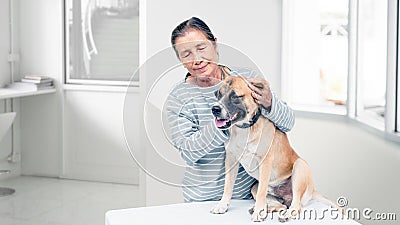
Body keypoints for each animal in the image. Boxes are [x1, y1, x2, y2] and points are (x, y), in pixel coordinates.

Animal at [209, 75, 340, 221]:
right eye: (218, 94)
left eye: (235, 96)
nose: (215, 109)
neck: (246, 129)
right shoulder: (231, 159)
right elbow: (228, 186)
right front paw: (223, 205)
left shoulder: (265, 162)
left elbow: (262, 192)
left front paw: (259, 212)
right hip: (254, 187)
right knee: (281, 205)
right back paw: (266, 208)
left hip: (300, 167)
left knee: (296, 205)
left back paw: (280, 212)